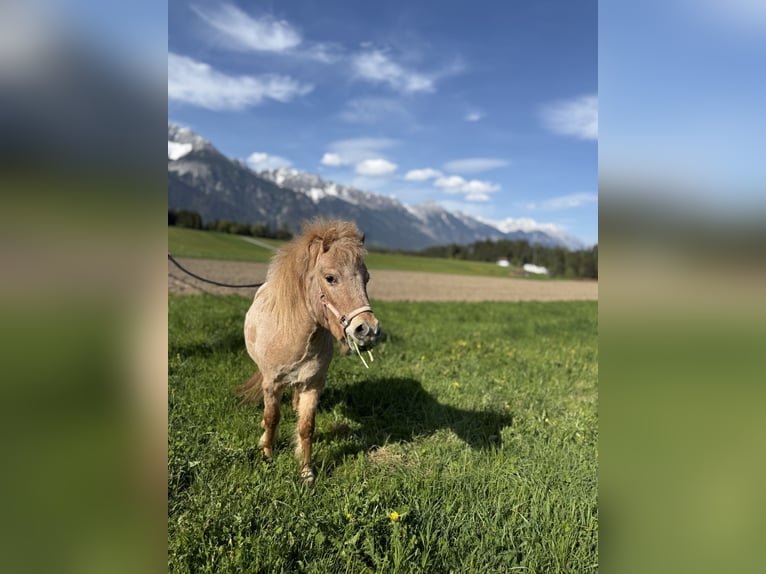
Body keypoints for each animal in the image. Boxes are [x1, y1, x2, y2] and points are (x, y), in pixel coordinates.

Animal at [239, 219, 381, 485]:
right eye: (330, 278)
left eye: (366, 278)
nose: (368, 330)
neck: (294, 334)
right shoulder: (271, 384)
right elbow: (272, 418)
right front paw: (267, 453)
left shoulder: (313, 385)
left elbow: (306, 428)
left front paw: (306, 472)